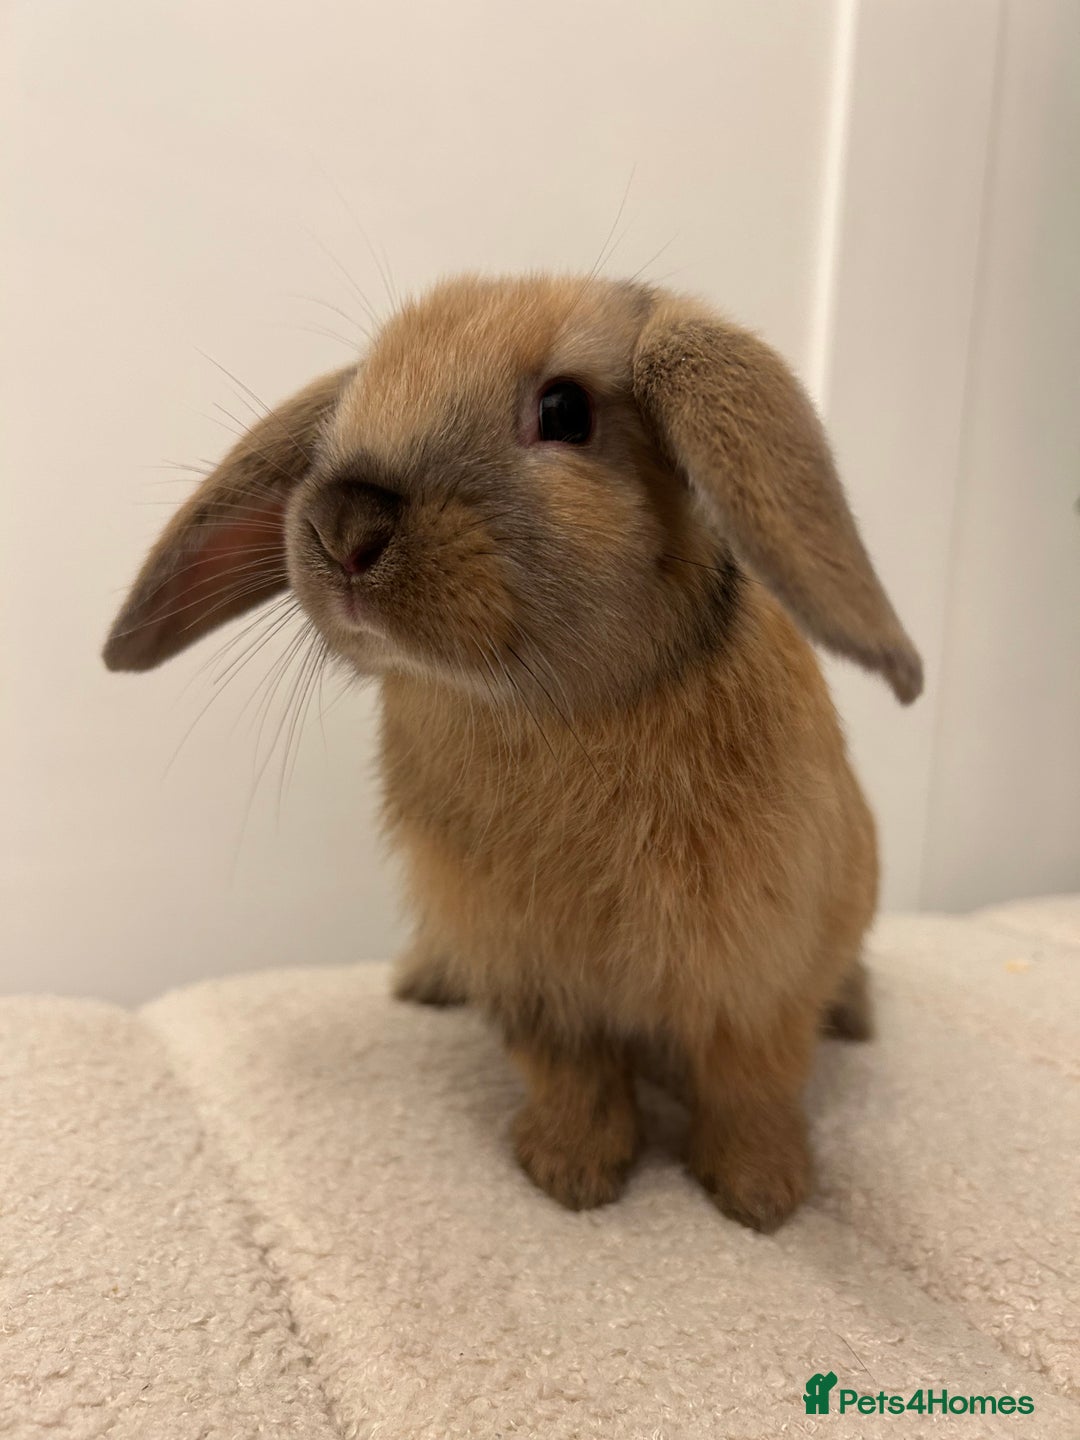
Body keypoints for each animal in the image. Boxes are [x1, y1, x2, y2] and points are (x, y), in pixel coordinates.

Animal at [104, 274, 922, 1231]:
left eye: (565, 411)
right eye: (354, 399)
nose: (345, 526)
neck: (544, 712)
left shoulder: (762, 973)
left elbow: (750, 1083)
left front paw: (760, 1197)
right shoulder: (528, 976)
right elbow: (573, 1078)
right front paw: (570, 1174)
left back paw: (855, 1019)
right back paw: (422, 983)